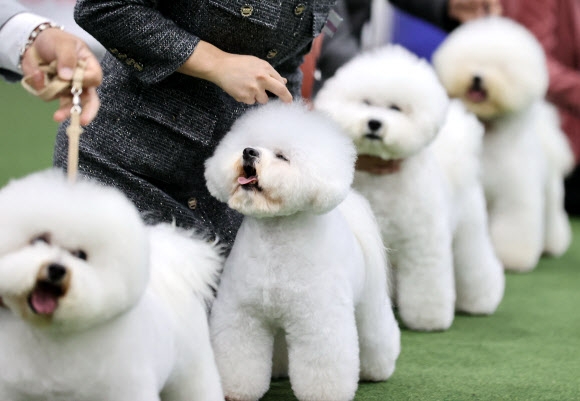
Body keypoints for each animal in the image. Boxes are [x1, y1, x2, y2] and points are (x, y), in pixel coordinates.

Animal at [0, 170, 224, 400]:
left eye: (81, 255)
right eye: (39, 241)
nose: (56, 269)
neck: (56, 336)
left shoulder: (125, 388)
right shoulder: (14, 390)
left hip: (193, 371)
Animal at [203, 101, 398, 400]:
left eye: (282, 157)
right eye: (251, 144)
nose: (248, 152)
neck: (275, 239)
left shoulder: (318, 320)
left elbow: (323, 364)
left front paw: (325, 394)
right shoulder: (243, 314)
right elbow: (239, 356)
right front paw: (236, 391)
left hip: (368, 303)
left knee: (375, 333)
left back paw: (377, 371)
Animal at [312, 45, 502, 330]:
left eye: (396, 108)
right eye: (366, 102)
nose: (374, 123)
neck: (381, 183)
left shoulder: (423, 242)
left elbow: (427, 283)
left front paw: (428, 319)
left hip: (469, 229)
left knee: (475, 264)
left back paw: (482, 301)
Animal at [432, 16, 572, 272]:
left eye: (501, 68)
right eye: (472, 58)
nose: (477, 77)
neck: (488, 134)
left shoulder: (514, 196)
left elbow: (513, 225)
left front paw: (511, 258)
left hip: (550, 190)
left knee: (552, 216)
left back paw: (552, 246)